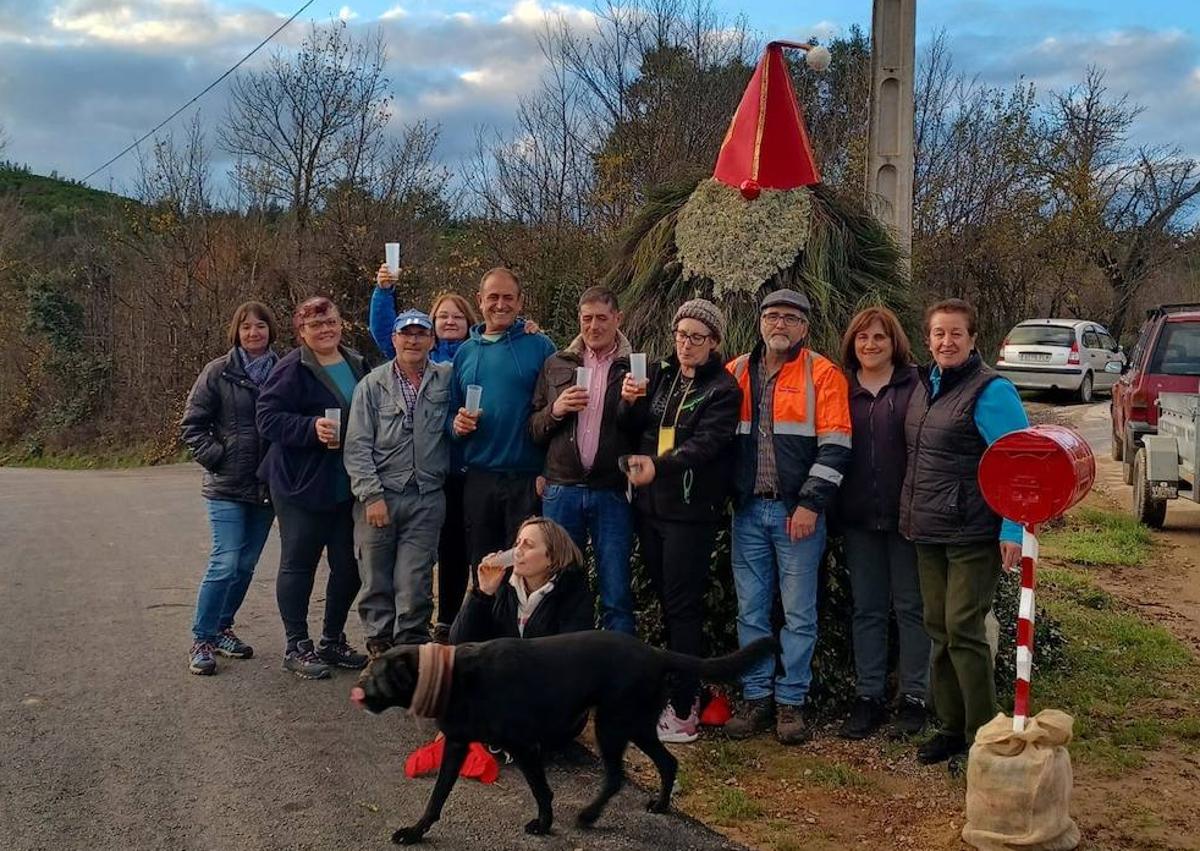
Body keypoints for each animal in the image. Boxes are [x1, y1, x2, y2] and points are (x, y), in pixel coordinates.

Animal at [350, 628, 772, 844]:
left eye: (375, 676)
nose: (358, 690)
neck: (452, 675)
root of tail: (656, 652)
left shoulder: (522, 745)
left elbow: (541, 789)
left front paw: (543, 824)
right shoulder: (456, 745)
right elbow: (437, 797)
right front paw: (416, 831)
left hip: (612, 724)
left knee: (616, 776)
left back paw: (589, 814)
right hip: (635, 723)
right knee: (667, 762)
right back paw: (660, 805)